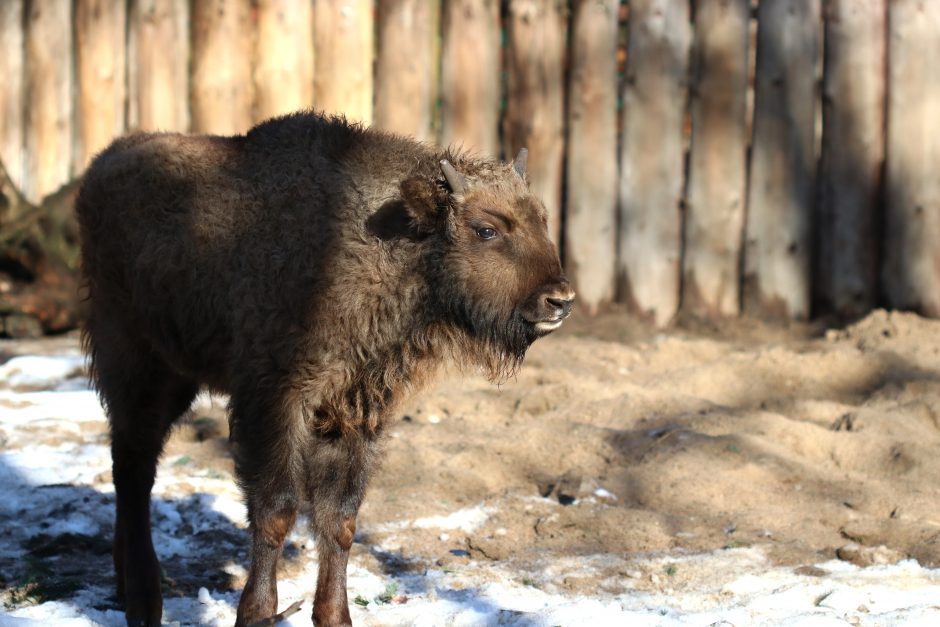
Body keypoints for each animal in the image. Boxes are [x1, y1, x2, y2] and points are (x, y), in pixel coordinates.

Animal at [75, 114, 572, 627]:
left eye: (542, 219)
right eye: (486, 229)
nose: (560, 300)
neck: (379, 240)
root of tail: (99, 169)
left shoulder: (352, 412)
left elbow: (340, 519)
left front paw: (335, 616)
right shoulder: (276, 402)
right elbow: (276, 511)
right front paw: (257, 613)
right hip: (135, 366)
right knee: (133, 468)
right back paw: (143, 600)